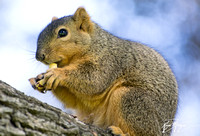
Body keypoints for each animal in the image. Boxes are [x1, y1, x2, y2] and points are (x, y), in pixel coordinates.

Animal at [28, 7, 178, 136]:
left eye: (63, 32)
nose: (39, 56)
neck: (93, 44)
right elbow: (74, 101)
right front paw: (38, 78)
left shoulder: (109, 61)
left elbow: (95, 80)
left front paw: (57, 74)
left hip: (131, 100)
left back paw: (121, 132)